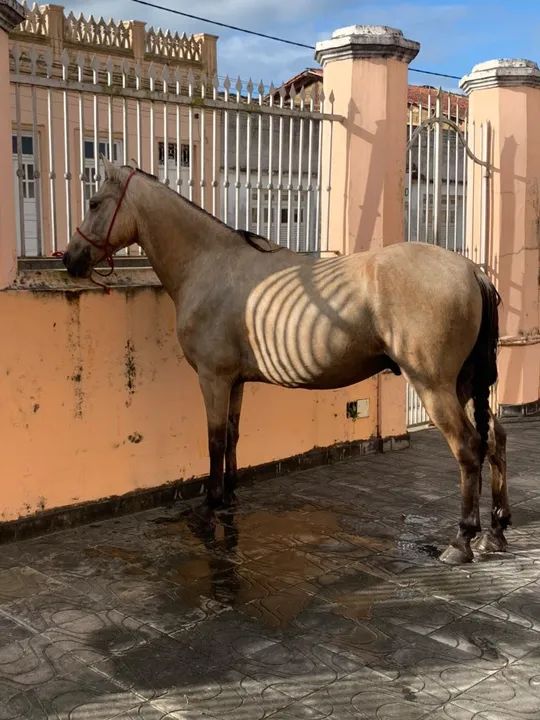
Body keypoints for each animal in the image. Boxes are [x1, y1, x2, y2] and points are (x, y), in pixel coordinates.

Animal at [63, 158, 510, 565]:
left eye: (94, 202)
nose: (70, 259)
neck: (208, 264)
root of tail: (471, 270)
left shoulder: (213, 378)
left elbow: (214, 440)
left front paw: (211, 505)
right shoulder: (235, 381)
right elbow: (232, 436)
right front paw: (229, 498)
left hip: (434, 386)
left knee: (468, 447)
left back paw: (462, 540)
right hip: (464, 384)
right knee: (495, 438)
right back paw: (496, 531)